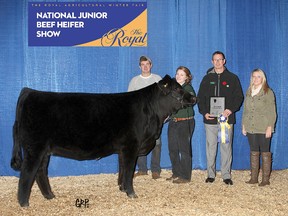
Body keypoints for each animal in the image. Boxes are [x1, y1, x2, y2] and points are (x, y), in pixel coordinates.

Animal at [10, 75, 197, 207]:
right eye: (177, 89)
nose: (193, 99)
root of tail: (29, 91)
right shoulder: (131, 146)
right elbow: (129, 171)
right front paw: (131, 193)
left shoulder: (123, 149)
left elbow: (123, 169)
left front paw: (122, 188)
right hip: (34, 148)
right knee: (27, 173)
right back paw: (24, 203)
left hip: (45, 150)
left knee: (41, 172)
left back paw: (49, 196)